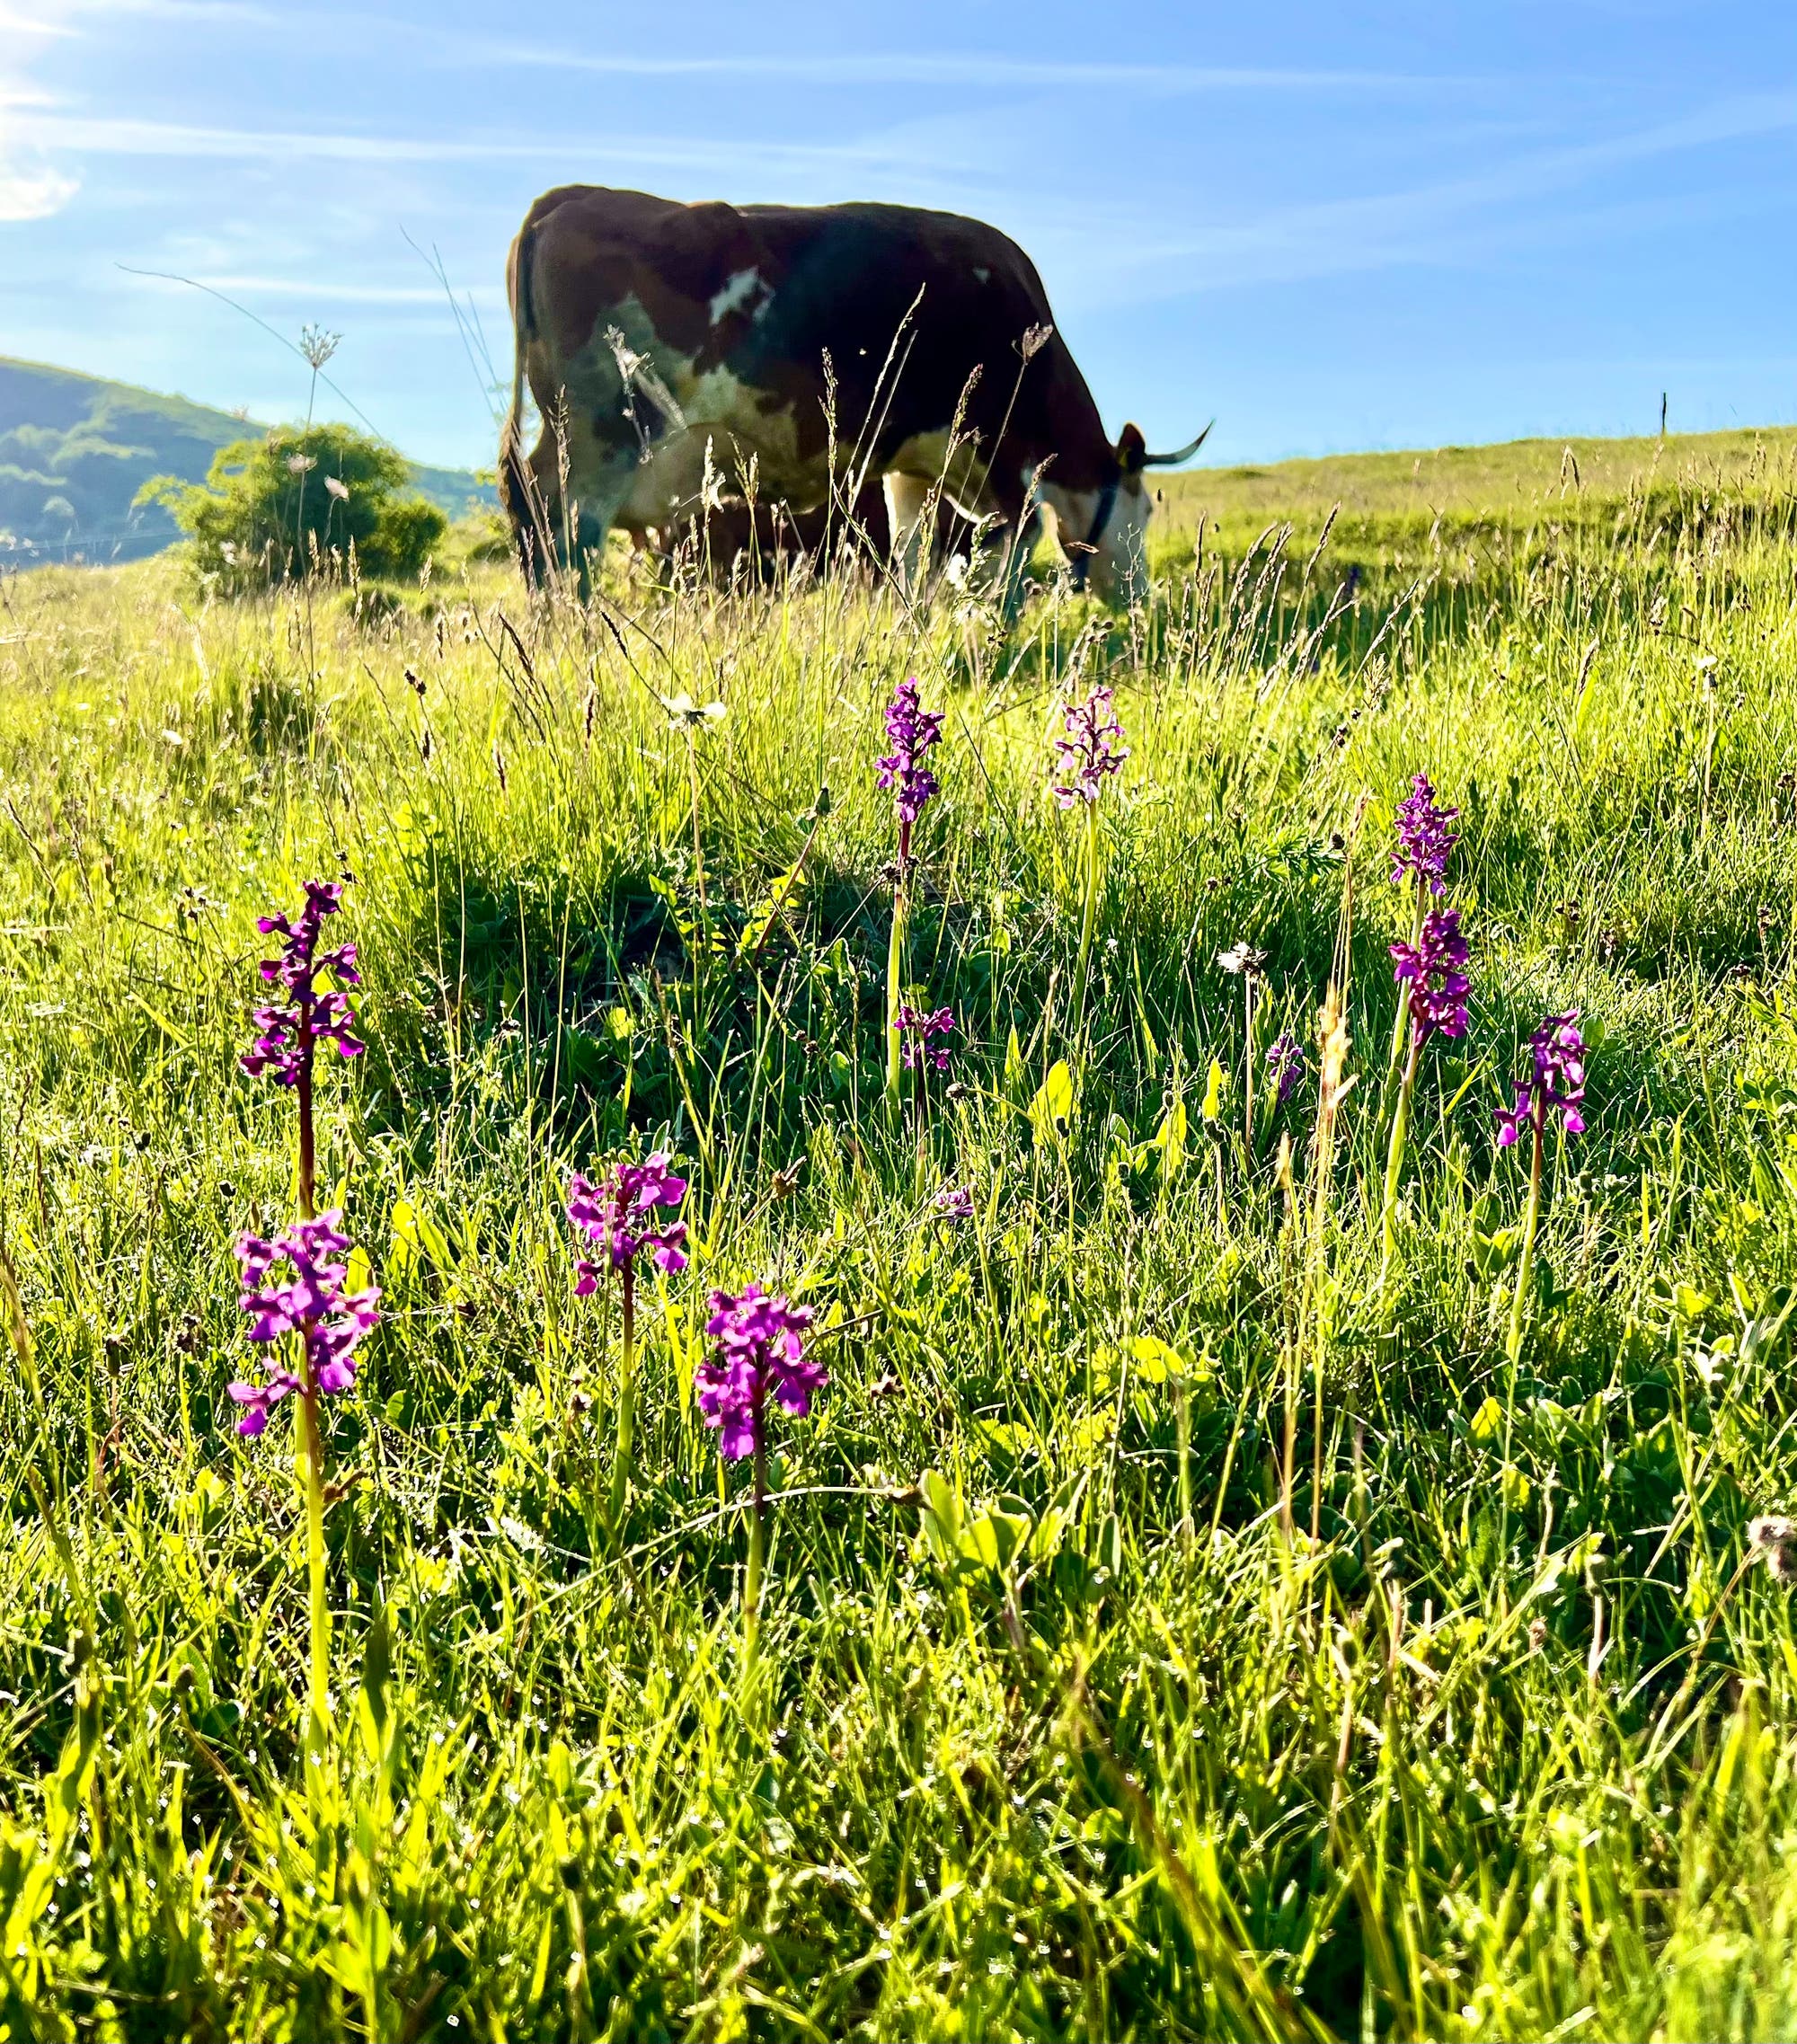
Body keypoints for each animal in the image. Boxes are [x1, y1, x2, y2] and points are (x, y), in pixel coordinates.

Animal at [499, 184, 1218, 600]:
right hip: (606, 430)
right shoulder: (1006, 467)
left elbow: (912, 559)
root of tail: (566, 198)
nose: (1141, 596)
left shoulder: (913, 467)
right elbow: (1009, 562)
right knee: (561, 522)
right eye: (1145, 508)